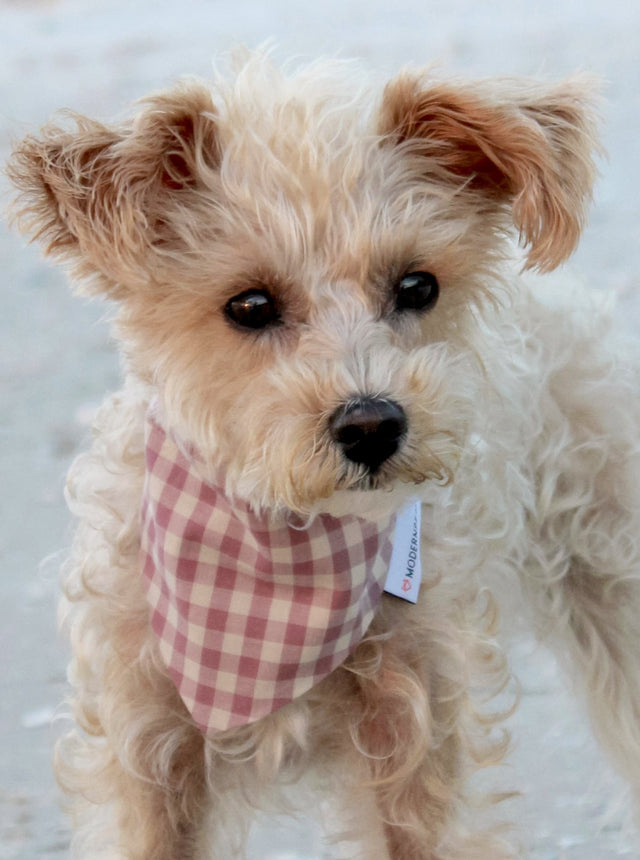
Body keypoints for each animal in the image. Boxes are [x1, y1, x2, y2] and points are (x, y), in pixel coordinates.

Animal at [8, 50, 640, 856]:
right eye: (249, 305)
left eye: (418, 285)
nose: (372, 425)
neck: (278, 553)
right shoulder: (145, 746)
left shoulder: (417, 728)